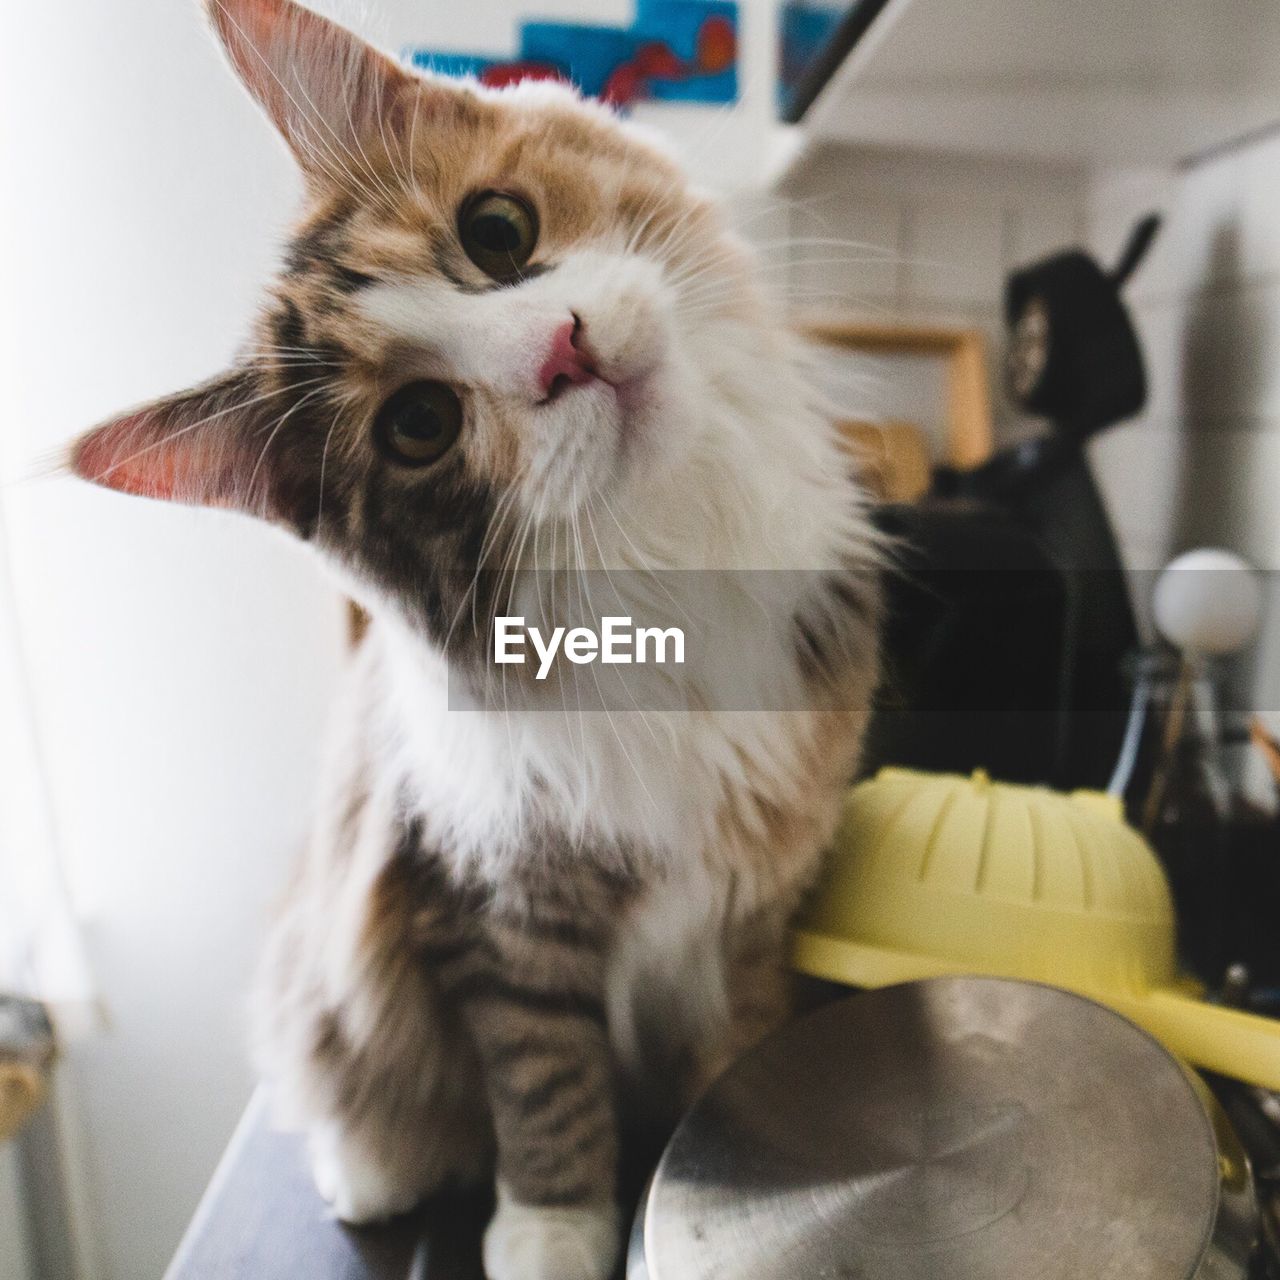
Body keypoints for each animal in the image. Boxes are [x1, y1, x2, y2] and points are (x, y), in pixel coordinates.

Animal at [67, 2, 880, 1280]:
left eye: (496, 231)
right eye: (418, 426)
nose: (564, 351)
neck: (656, 572)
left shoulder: (757, 900)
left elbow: (735, 1049)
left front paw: (746, 1138)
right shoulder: (490, 906)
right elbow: (544, 1085)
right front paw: (553, 1228)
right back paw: (369, 1170)